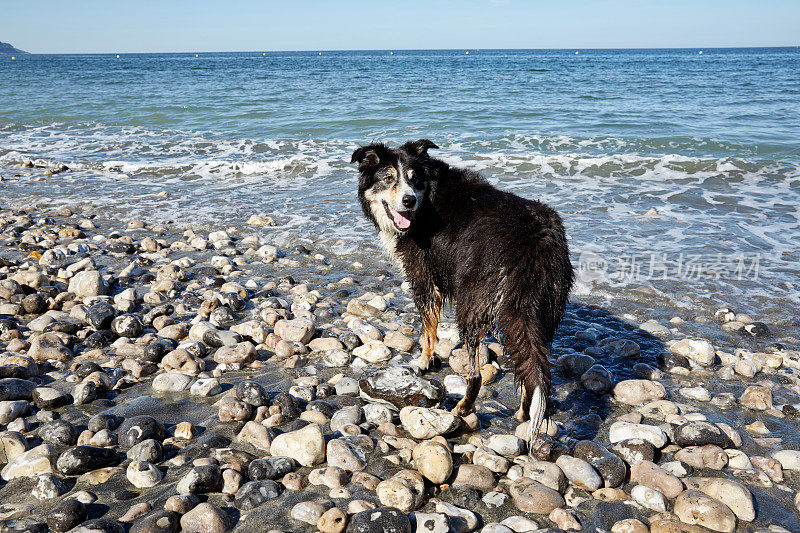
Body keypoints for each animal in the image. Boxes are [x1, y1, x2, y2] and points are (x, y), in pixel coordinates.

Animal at [354, 139, 572, 442]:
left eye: (414, 179)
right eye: (388, 178)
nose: (409, 200)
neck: (427, 197)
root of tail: (535, 241)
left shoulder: (423, 276)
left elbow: (428, 328)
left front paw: (424, 361)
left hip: (472, 302)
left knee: (477, 374)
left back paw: (463, 407)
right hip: (543, 310)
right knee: (533, 363)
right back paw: (524, 412)